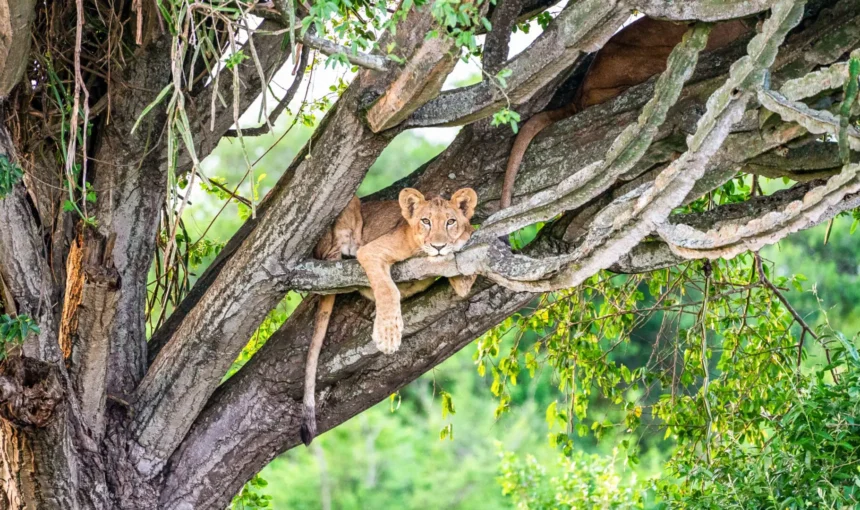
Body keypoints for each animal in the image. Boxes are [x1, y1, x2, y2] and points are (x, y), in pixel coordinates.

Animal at [301, 188, 479, 445]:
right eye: (425, 221)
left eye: (450, 221)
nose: (438, 246)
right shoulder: (372, 252)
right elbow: (387, 289)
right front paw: (388, 336)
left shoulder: (460, 278)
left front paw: (465, 236)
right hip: (348, 207)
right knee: (332, 256)